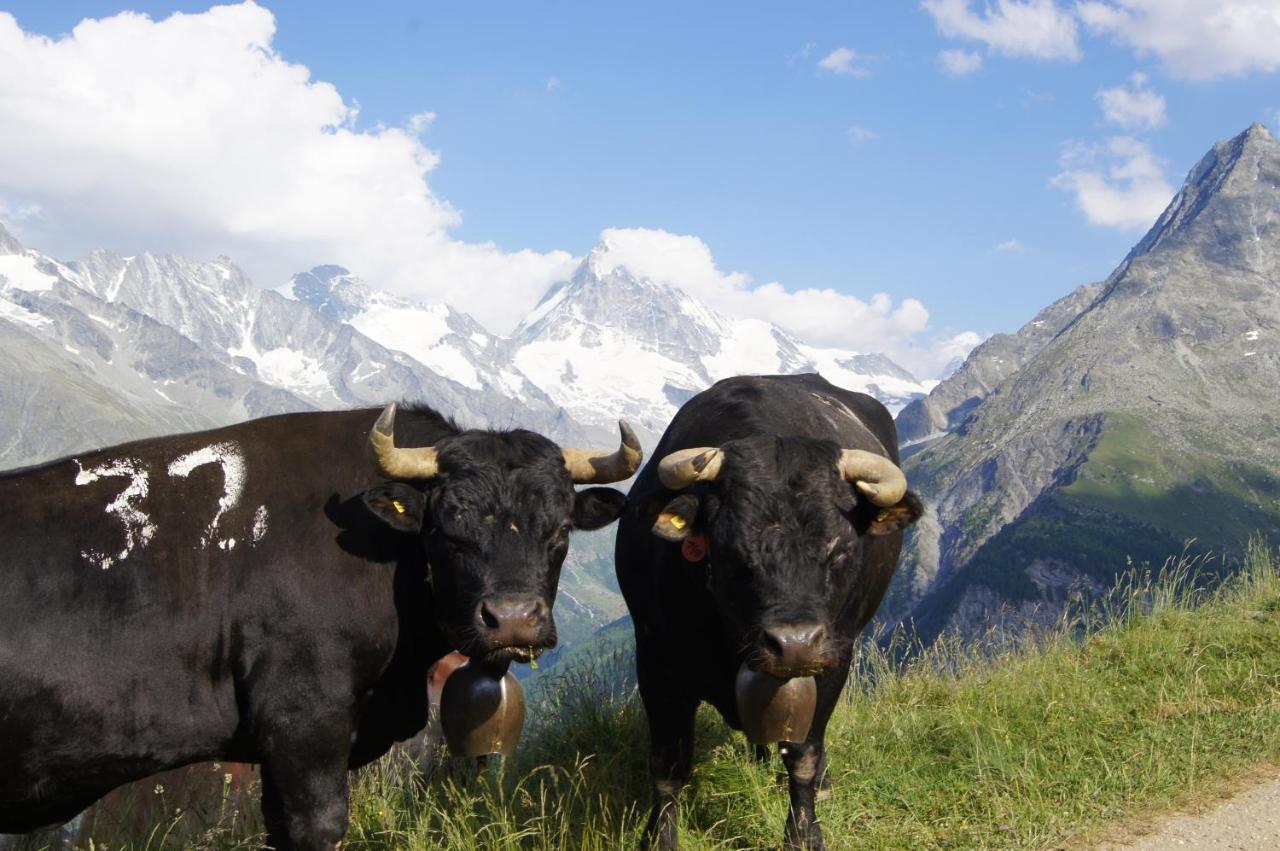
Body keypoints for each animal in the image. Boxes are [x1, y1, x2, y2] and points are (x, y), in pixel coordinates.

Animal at [611, 376, 921, 844]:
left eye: (839, 550)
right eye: (730, 551)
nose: (794, 645)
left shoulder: (834, 657)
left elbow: (804, 754)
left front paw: (804, 834)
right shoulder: (655, 657)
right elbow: (667, 764)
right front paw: (659, 839)